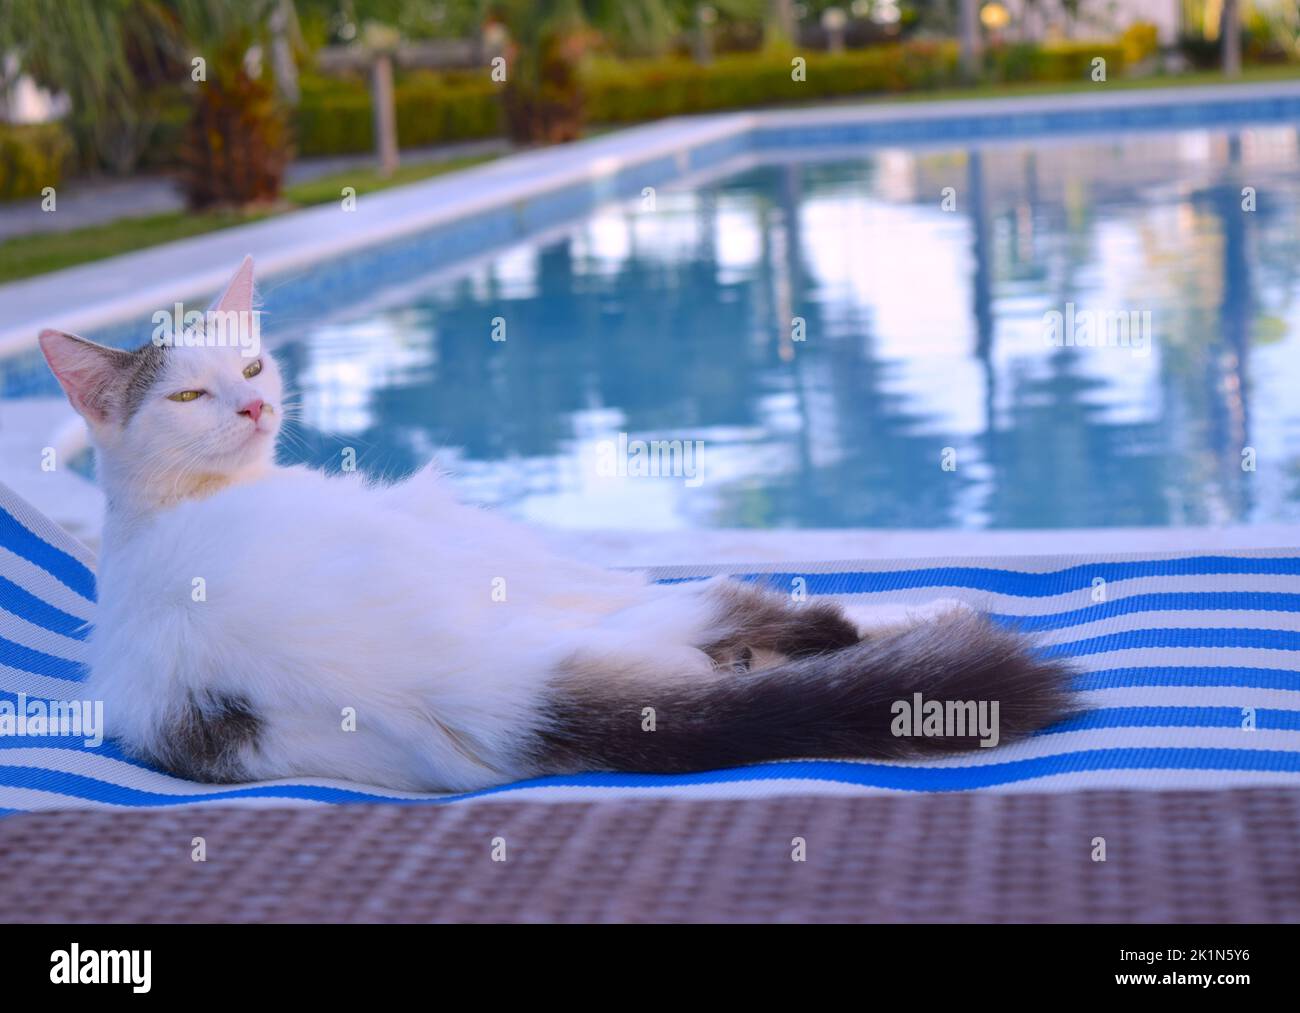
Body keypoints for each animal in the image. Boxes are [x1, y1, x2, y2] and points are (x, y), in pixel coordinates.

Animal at [40, 257, 1076, 795]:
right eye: (186, 394)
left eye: (252, 369)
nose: (254, 410)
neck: (172, 506)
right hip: (487, 539)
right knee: (768, 611)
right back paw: (925, 610)